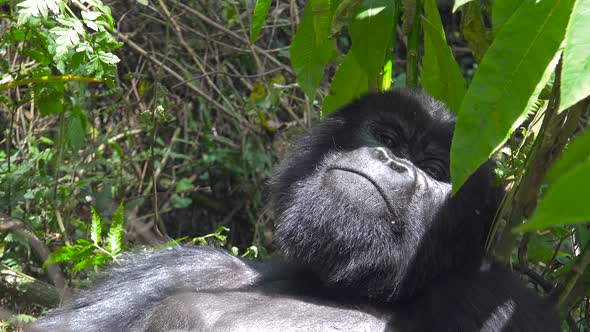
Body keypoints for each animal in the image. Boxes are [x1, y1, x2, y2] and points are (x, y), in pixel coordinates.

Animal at [32, 89, 560, 330]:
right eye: (388, 138)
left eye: (434, 167)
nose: (394, 161)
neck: (336, 287)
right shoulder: (177, 270)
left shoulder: (494, 296)